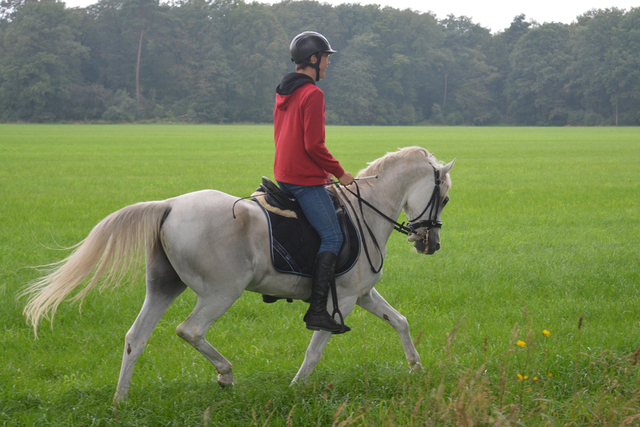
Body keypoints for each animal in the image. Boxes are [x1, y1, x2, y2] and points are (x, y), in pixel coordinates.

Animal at [23, 145, 456, 402]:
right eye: (446, 198)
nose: (429, 244)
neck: (365, 211)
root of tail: (170, 205)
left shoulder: (362, 294)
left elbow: (400, 321)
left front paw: (416, 368)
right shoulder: (345, 298)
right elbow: (315, 348)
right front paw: (296, 386)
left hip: (163, 287)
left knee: (135, 338)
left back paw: (120, 398)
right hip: (221, 293)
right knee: (190, 330)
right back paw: (226, 375)